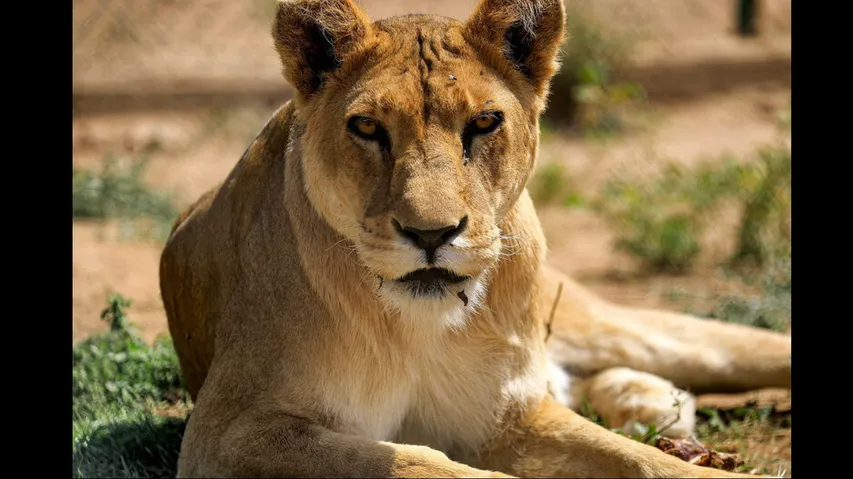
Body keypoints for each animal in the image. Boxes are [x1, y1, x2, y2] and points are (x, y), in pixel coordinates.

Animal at [159, 0, 791, 477]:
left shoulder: (511, 419)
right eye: (367, 127)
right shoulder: (232, 431)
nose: (431, 233)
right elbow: (420, 463)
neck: (417, 328)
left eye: (484, 123)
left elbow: (646, 462)